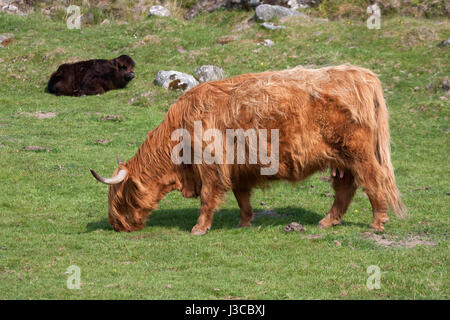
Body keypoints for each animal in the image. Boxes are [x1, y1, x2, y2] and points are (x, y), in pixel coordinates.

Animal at [89, 64, 406, 235]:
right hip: (341, 160)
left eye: (119, 196)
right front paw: (245, 222)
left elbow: (208, 198)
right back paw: (327, 222)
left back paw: (378, 222)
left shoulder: (211, 167)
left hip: (360, 154)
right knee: (345, 189)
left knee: (373, 181)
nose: (115, 225)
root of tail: (360, 74)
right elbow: (242, 197)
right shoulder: (238, 169)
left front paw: (199, 228)